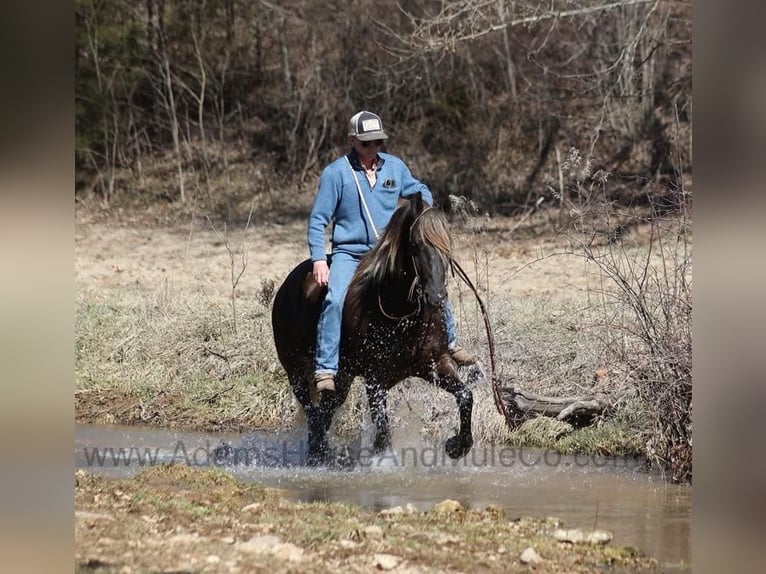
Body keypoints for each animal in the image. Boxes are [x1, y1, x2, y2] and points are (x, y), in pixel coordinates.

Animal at [271, 193, 473, 465]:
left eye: (446, 246)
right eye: (416, 244)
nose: (437, 298)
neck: (401, 314)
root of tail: (286, 286)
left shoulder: (436, 364)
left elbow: (465, 396)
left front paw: (457, 446)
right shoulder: (375, 378)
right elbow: (382, 427)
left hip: (342, 377)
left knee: (324, 411)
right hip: (296, 370)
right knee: (313, 412)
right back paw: (317, 457)